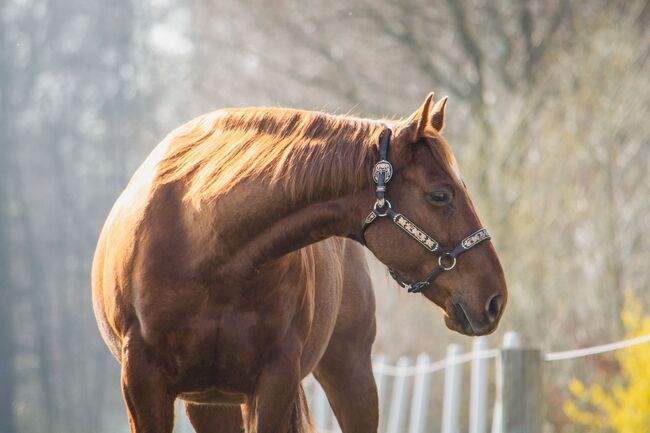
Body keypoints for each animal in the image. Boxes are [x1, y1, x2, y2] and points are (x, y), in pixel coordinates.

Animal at [91, 93, 506, 432]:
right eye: (440, 195)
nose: (495, 299)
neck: (209, 247)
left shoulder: (275, 382)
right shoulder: (143, 384)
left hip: (349, 372)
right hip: (210, 402)